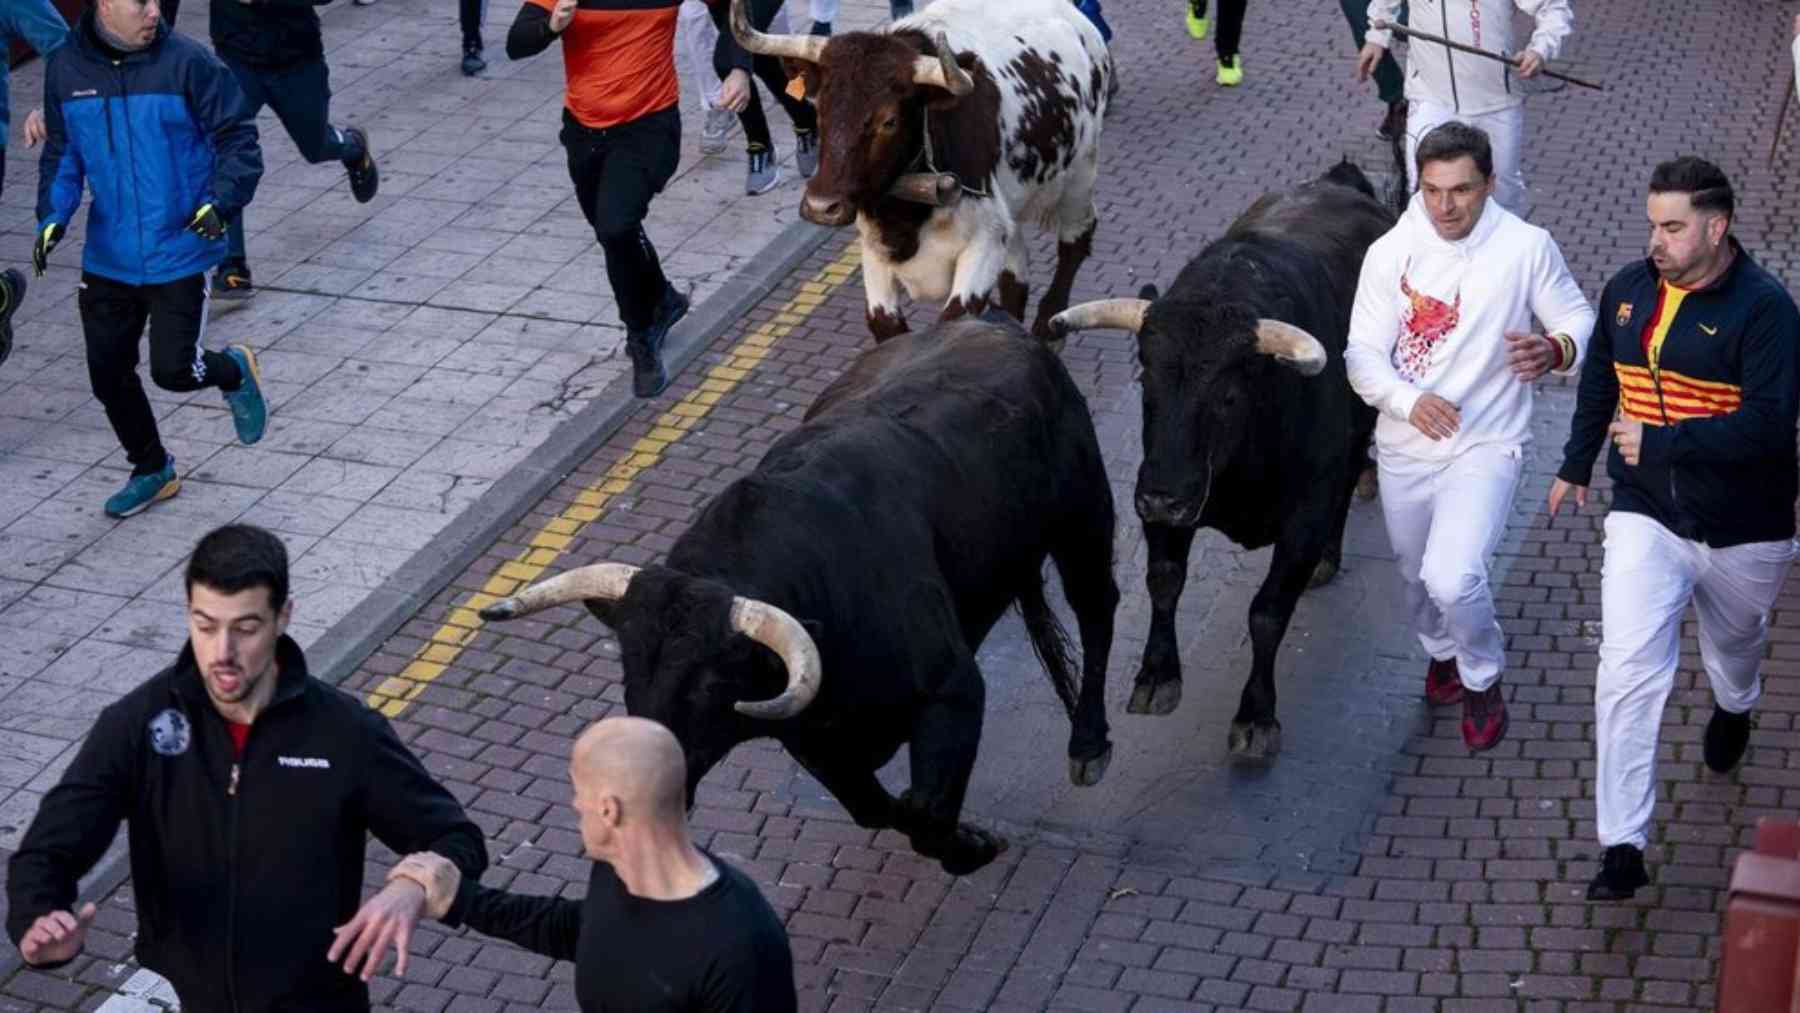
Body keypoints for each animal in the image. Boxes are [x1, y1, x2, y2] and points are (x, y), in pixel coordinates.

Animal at [482, 320, 1123, 874]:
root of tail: (997, 324)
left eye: (710, 683)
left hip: (1083, 520)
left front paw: (973, 847)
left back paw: (1090, 745)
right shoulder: (812, 741)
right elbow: (876, 808)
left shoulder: (953, 690)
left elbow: (924, 811)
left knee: (1097, 608)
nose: (636, 788)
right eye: (629, 669)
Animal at [730, 0, 1108, 343]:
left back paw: (1049, 328)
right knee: (1016, 275)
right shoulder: (876, 249)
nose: (821, 207)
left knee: (1076, 240)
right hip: (1011, 207)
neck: (906, 212)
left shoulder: (983, 240)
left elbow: (954, 322)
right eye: (820, 110)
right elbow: (885, 325)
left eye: (889, 121)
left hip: (1080, 174)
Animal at [1051, 160, 1389, 762]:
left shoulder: (1303, 514)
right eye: (1147, 385)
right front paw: (1157, 675)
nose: (1163, 497)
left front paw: (1255, 717)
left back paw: (1328, 556)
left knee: (1351, 475)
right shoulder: (1161, 495)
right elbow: (1164, 579)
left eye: (1228, 397)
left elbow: (1268, 612)